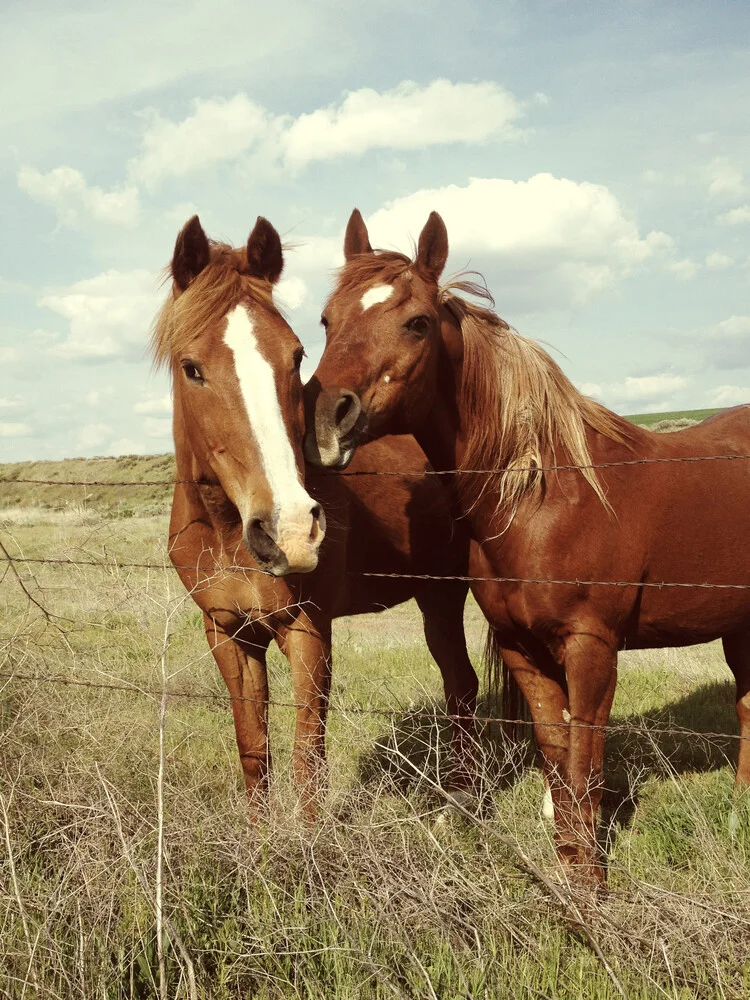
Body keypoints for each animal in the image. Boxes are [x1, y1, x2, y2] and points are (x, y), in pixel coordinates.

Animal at [154, 215, 482, 816]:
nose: (289, 531)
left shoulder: (307, 630)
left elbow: (308, 762)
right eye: (192, 369)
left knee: (462, 684)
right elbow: (253, 751)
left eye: (296, 355)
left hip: (444, 595)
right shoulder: (228, 635)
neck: (227, 533)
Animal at [304, 209, 750, 884]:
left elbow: (585, 761)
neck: (544, 496)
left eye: (417, 322)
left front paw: (589, 887)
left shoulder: (592, 650)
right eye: (327, 320)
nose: (326, 420)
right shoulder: (522, 649)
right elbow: (557, 756)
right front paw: (567, 870)